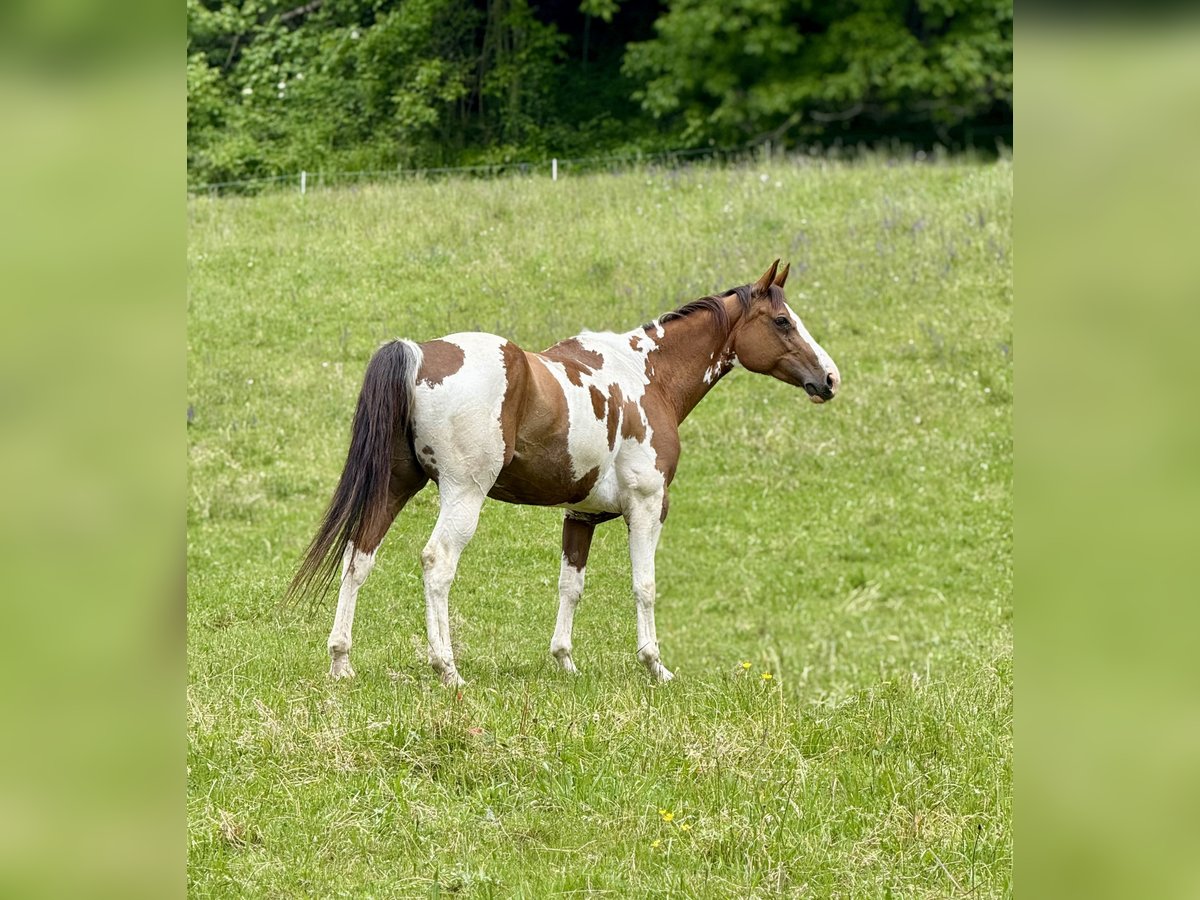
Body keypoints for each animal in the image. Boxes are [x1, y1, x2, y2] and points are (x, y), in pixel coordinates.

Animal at [288, 260, 840, 685]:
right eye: (783, 321)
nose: (830, 378)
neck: (648, 377)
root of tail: (421, 352)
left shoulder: (580, 516)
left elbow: (570, 586)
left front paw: (564, 661)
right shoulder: (647, 507)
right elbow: (645, 585)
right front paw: (655, 666)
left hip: (395, 486)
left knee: (358, 558)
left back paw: (341, 661)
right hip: (463, 495)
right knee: (437, 563)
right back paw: (447, 668)